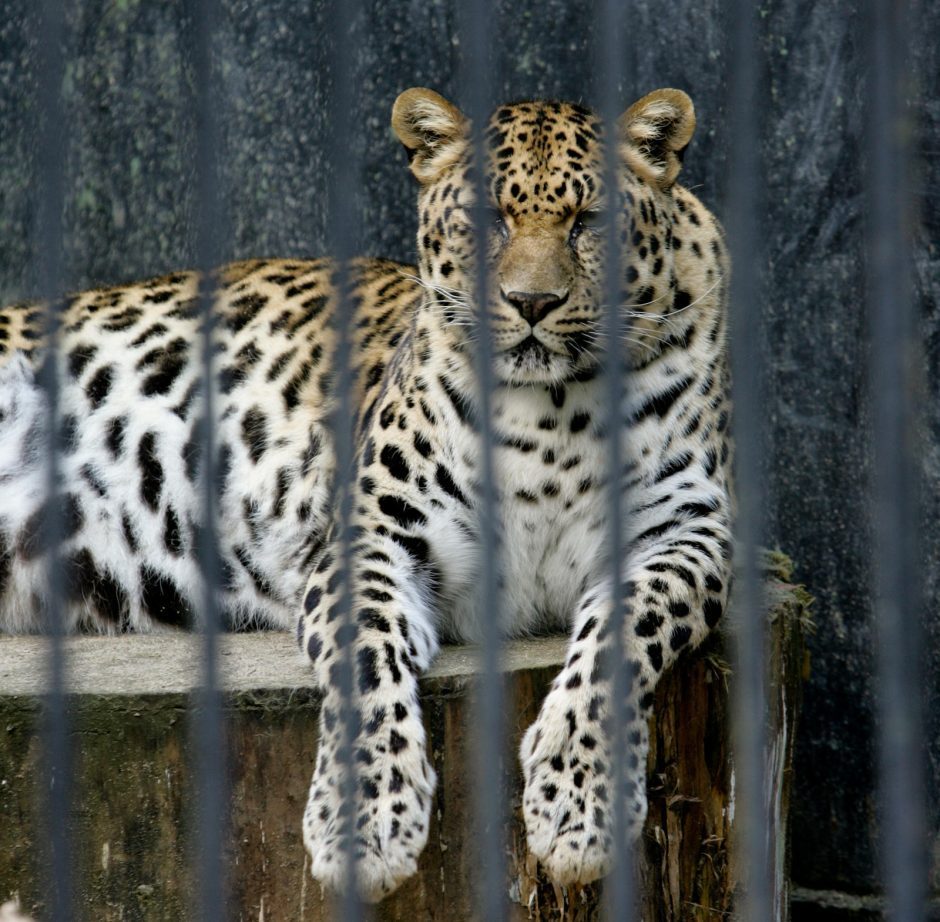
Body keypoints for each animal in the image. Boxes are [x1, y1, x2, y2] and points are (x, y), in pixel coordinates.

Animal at [0, 86, 736, 900]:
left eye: (588, 222)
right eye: (488, 219)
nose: (532, 302)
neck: (552, 414)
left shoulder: (689, 531)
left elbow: (624, 631)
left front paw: (579, 803)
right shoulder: (374, 536)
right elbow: (365, 663)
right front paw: (365, 822)